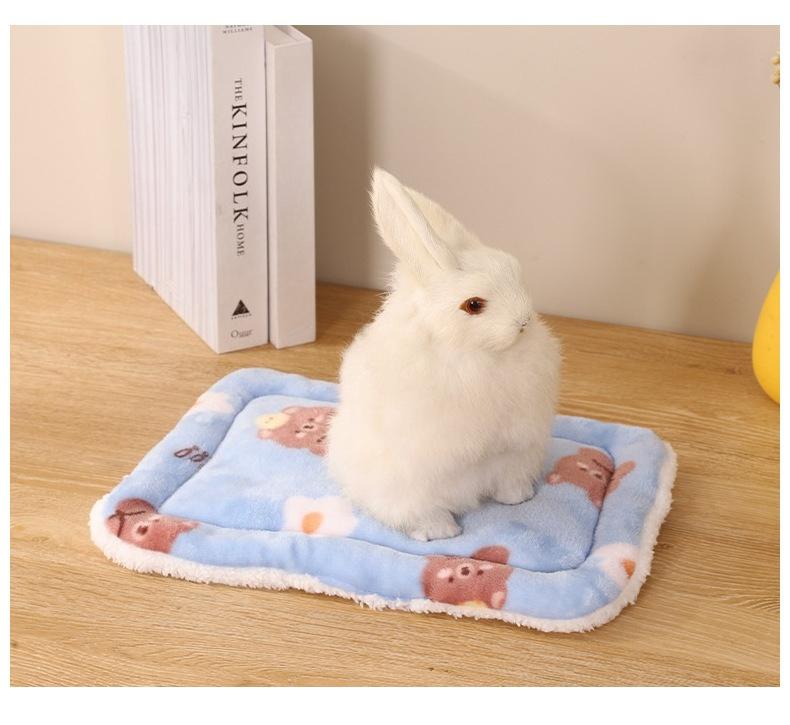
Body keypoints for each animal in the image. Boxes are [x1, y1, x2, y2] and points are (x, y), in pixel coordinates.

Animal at [325, 168, 561, 541]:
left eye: (515, 269)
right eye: (474, 305)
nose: (523, 322)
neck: (476, 352)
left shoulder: (516, 442)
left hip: (516, 465)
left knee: (507, 484)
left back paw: (519, 498)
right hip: (406, 489)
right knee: (421, 513)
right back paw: (443, 532)